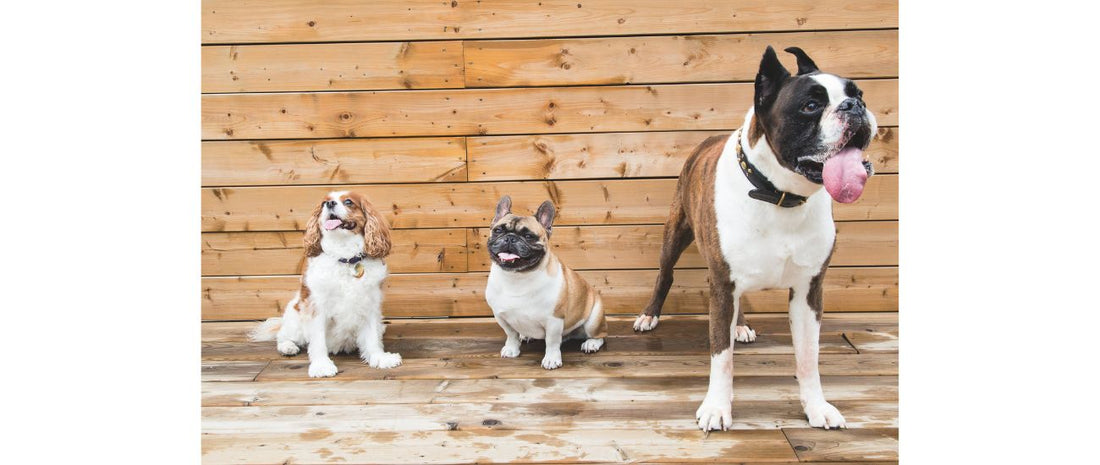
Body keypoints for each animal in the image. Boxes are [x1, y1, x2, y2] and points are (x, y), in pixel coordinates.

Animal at [251, 191, 402, 375]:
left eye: (348, 202)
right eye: (324, 203)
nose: (329, 204)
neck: (346, 258)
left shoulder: (370, 303)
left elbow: (372, 337)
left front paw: (379, 358)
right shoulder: (317, 307)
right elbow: (318, 341)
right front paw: (321, 365)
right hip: (295, 318)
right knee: (283, 336)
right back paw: (288, 347)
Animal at [486, 197, 611, 371]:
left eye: (528, 236)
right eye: (498, 230)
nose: (510, 238)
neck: (517, 276)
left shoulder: (554, 319)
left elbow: (551, 342)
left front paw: (551, 359)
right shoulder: (501, 316)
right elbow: (511, 334)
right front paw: (511, 348)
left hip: (594, 319)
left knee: (600, 335)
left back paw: (591, 343)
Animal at [638, 45, 875, 430]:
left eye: (859, 94)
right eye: (811, 105)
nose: (854, 106)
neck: (780, 194)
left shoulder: (809, 290)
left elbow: (808, 357)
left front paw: (816, 406)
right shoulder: (723, 283)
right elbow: (721, 356)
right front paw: (717, 407)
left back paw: (741, 325)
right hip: (675, 234)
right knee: (666, 274)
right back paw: (649, 315)